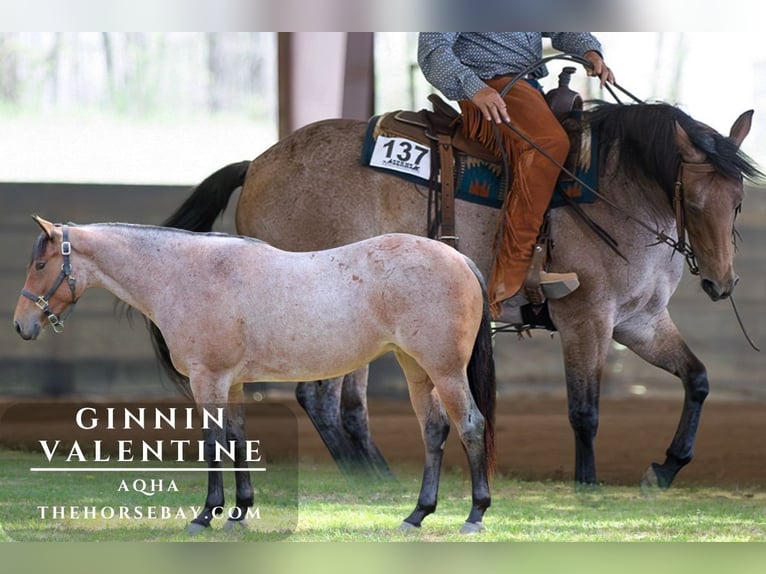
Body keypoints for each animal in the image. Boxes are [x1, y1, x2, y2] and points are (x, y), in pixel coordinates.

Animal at [13, 218, 497, 534]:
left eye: (39, 266)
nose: (21, 326)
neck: (186, 274)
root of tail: (459, 257)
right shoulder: (234, 383)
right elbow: (237, 438)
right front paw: (239, 512)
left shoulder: (208, 379)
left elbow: (212, 442)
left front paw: (206, 515)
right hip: (417, 369)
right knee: (434, 430)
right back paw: (417, 515)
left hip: (445, 371)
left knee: (470, 426)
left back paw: (475, 515)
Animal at [153, 100, 762, 489]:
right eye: (694, 201)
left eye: (736, 202)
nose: (720, 282)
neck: (614, 191)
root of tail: (257, 163)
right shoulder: (585, 318)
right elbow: (584, 411)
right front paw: (588, 486)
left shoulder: (639, 321)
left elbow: (698, 378)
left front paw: (667, 467)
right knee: (319, 397)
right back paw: (367, 478)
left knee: (343, 404)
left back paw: (376, 475)